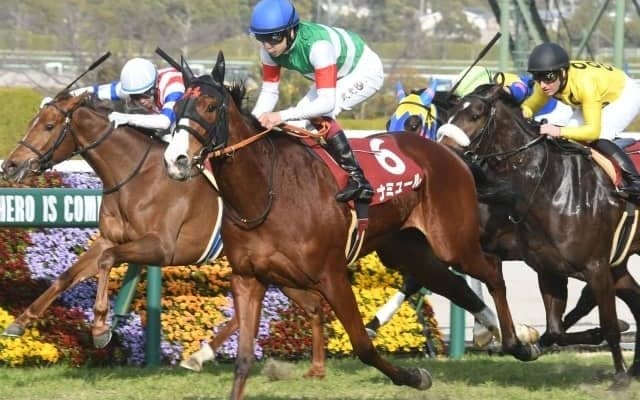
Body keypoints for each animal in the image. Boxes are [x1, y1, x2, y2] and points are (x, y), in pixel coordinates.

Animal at [0, 92, 328, 377]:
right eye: (32, 122)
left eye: (49, 125)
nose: (11, 165)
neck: (135, 176)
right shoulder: (109, 238)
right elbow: (67, 276)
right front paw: (20, 322)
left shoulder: (162, 248)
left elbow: (108, 260)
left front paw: (101, 328)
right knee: (297, 304)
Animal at [162, 51, 540, 399]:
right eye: (178, 105)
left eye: (211, 106)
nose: (175, 160)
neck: (266, 192)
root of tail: (450, 152)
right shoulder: (247, 277)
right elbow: (242, 359)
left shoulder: (331, 275)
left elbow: (362, 345)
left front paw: (415, 376)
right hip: (406, 249)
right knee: (452, 284)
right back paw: (502, 333)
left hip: (453, 240)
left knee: (491, 270)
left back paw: (518, 342)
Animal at [437, 83, 640, 389]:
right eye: (449, 112)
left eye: (475, 115)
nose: (442, 152)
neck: (549, 185)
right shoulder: (549, 269)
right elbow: (554, 330)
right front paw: (528, 343)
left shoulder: (596, 267)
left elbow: (608, 324)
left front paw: (619, 377)